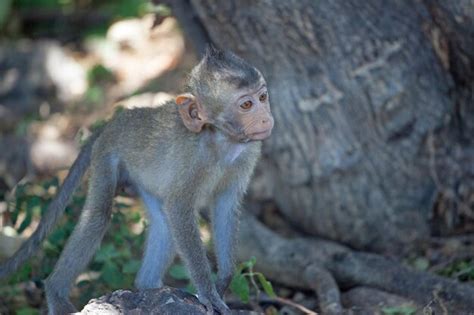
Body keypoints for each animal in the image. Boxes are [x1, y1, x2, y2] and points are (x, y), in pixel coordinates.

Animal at [0, 45, 274, 314]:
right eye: (246, 105)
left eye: (262, 98)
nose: (266, 118)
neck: (222, 140)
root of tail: (118, 120)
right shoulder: (194, 159)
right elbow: (179, 208)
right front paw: (208, 292)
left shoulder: (248, 153)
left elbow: (225, 206)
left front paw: (224, 280)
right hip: (107, 156)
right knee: (98, 217)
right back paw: (56, 292)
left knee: (164, 225)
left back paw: (149, 289)